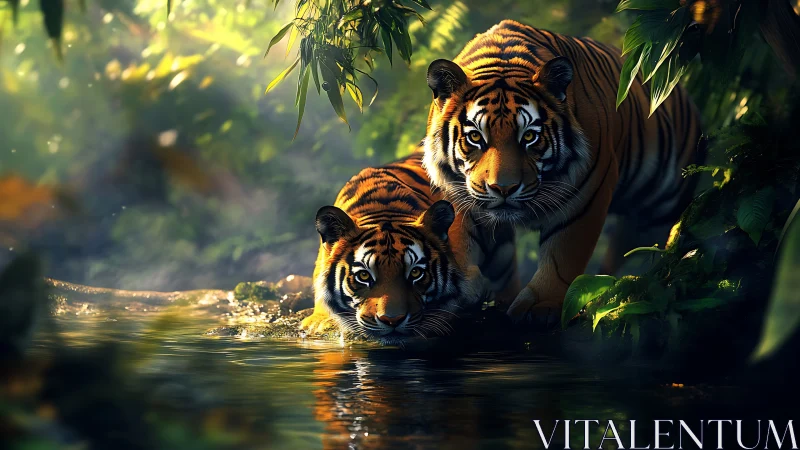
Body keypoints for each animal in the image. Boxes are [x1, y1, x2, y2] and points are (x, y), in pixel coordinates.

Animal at [422, 20, 704, 328]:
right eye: (475, 137)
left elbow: (563, 256)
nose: (503, 189)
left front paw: (541, 305)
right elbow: (458, 240)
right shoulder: (459, 193)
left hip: (657, 215)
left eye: (529, 137)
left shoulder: (586, 193)